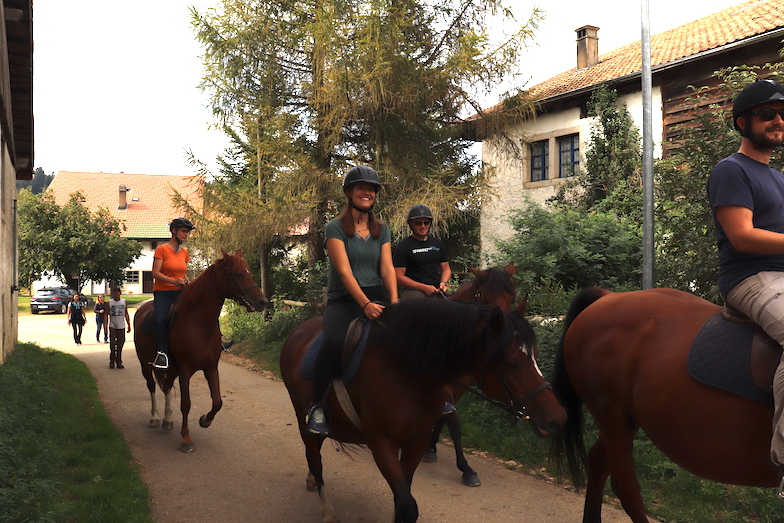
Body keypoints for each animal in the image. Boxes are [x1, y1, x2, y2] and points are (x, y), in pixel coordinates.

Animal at [133, 252, 268, 452]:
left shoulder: (211, 368)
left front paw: (205, 420)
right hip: (145, 365)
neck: (198, 323)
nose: (262, 302)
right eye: (238, 274)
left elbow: (218, 401)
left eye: (248, 272)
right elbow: (186, 404)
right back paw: (155, 418)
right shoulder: (185, 370)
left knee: (166, 387)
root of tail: (141, 309)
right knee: (151, 387)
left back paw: (167, 420)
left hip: (171, 369)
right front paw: (186, 439)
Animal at [278, 296, 568, 520]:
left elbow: (403, 499)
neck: (406, 372)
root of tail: (298, 331)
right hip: (301, 413)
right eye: (512, 364)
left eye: (535, 356)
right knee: (314, 456)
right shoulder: (381, 443)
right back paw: (327, 510)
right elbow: (407, 506)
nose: (557, 419)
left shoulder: (416, 442)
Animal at [426, 264, 516, 490]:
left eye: (512, 297)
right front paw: (467, 470)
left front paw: (430, 448)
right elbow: (455, 425)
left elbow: (444, 418)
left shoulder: (459, 387)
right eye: (485, 298)